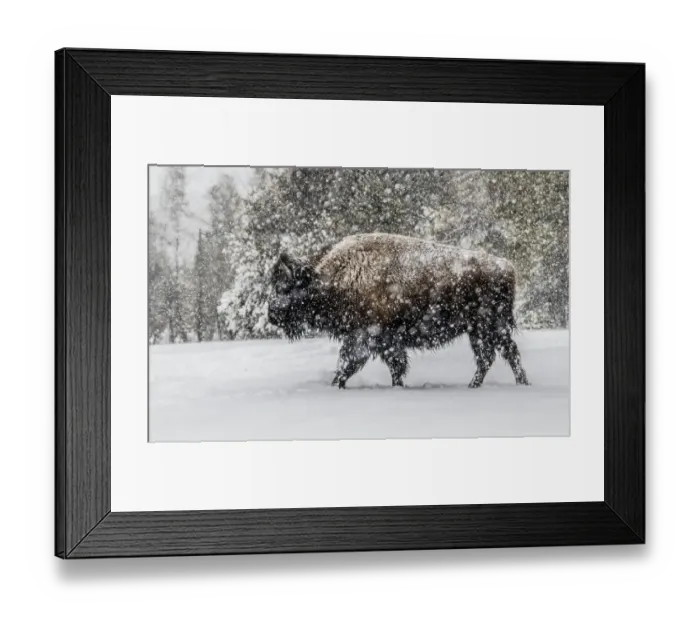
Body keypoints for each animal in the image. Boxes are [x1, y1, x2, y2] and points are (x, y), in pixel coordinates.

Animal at [267, 233, 529, 389]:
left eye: (284, 287)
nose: (271, 314)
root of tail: (507, 266)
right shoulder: (386, 342)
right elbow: (395, 366)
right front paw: (397, 386)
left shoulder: (366, 336)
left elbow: (348, 363)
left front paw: (336, 385)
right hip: (478, 331)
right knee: (489, 357)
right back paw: (477, 385)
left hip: (490, 327)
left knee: (506, 354)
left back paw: (519, 384)